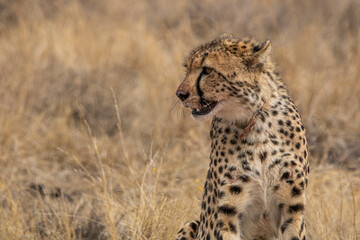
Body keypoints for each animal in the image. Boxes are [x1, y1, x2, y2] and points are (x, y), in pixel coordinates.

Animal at [175, 34, 310, 240]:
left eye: (207, 70)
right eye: (187, 68)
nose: (180, 94)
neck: (254, 122)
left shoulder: (292, 207)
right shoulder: (227, 212)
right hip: (191, 224)